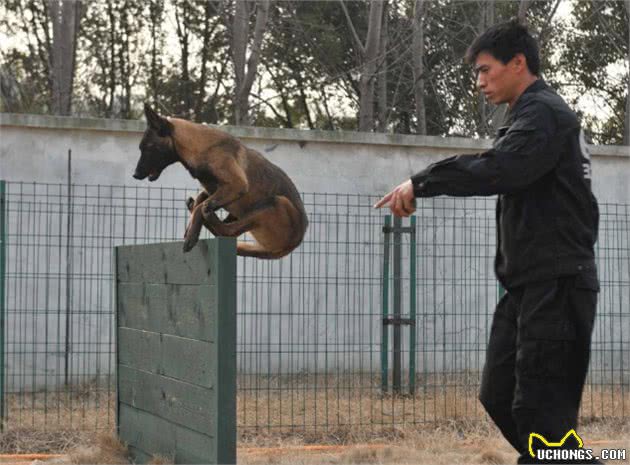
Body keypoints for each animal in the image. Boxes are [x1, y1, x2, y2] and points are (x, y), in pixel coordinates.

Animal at [135, 103, 310, 260]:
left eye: (148, 147)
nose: (135, 175)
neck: (199, 147)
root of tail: (293, 243)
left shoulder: (236, 185)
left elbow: (201, 206)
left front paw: (192, 233)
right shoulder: (213, 189)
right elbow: (200, 200)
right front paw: (191, 224)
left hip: (276, 202)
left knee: (229, 230)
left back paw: (210, 218)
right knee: (226, 230)